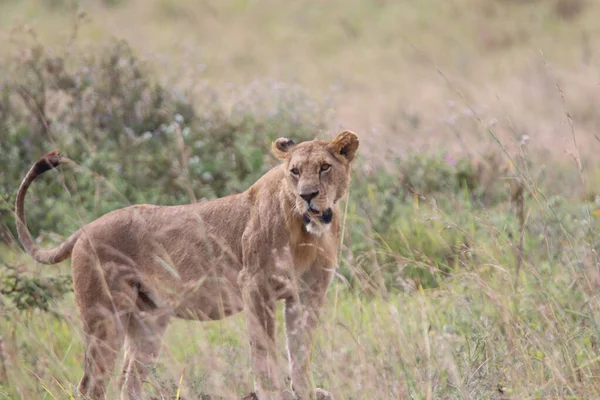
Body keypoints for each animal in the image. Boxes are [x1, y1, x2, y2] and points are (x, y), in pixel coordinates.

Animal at [16, 130, 358, 398]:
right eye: (295, 171)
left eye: (325, 167)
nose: (308, 195)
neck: (308, 234)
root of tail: (84, 229)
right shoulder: (255, 286)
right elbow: (263, 351)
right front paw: (273, 392)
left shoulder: (308, 294)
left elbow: (300, 350)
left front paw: (307, 390)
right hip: (104, 314)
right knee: (91, 384)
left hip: (149, 320)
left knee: (130, 383)